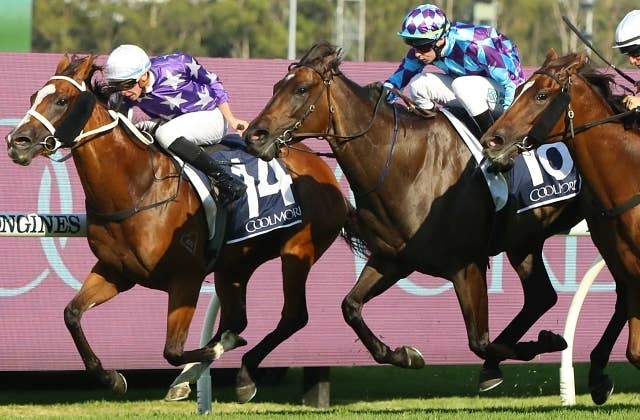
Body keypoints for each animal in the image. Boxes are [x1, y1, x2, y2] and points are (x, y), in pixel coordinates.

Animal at [5, 53, 349, 403]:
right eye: (33, 97)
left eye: (61, 100)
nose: (17, 142)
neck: (138, 188)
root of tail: (322, 168)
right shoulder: (115, 272)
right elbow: (71, 314)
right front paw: (112, 378)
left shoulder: (186, 278)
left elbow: (171, 350)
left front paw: (215, 352)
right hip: (235, 264)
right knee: (236, 318)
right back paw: (193, 375)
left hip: (298, 249)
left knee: (292, 315)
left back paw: (239, 374)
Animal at [242, 41, 622, 394]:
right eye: (276, 86)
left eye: (301, 89)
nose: (253, 136)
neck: (407, 164)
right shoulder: (394, 259)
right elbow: (350, 306)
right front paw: (405, 355)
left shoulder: (466, 264)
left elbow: (479, 341)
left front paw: (546, 343)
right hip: (525, 241)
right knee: (544, 296)